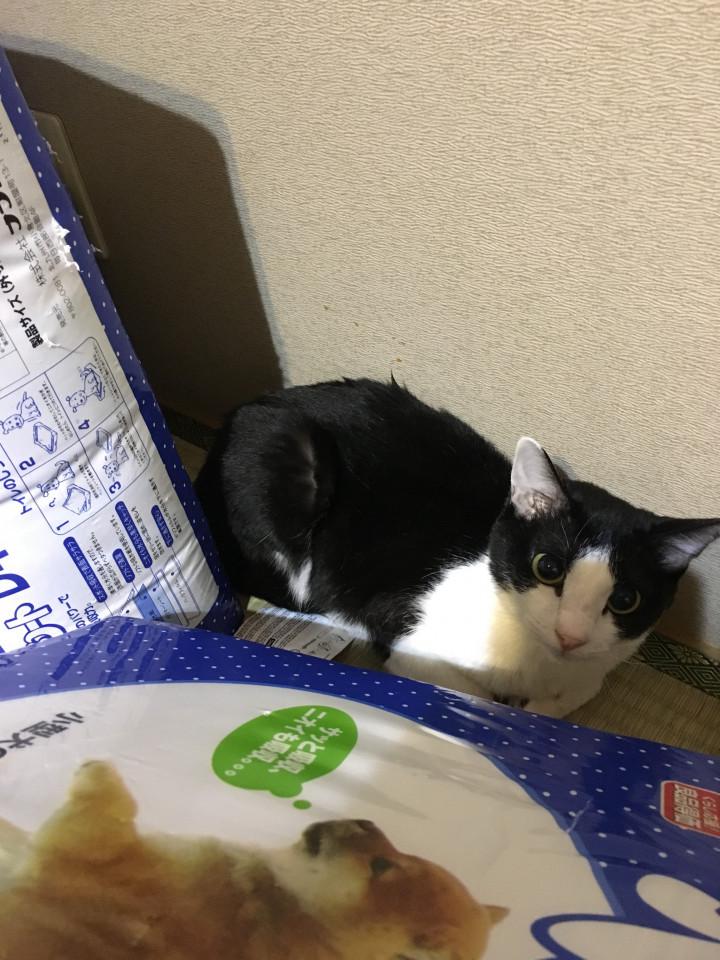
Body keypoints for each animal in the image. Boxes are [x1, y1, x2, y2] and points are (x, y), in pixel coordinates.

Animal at [0, 760, 505, 960]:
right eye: (393, 856)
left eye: (382, 866)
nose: (365, 819)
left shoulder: (97, 851)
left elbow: (106, 804)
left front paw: (95, 771)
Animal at [195, 378, 720, 718]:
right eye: (547, 568)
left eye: (625, 599)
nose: (569, 635)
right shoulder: (410, 637)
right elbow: (477, 698)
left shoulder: (588, 675)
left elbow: (562, 703)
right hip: (292, 466)